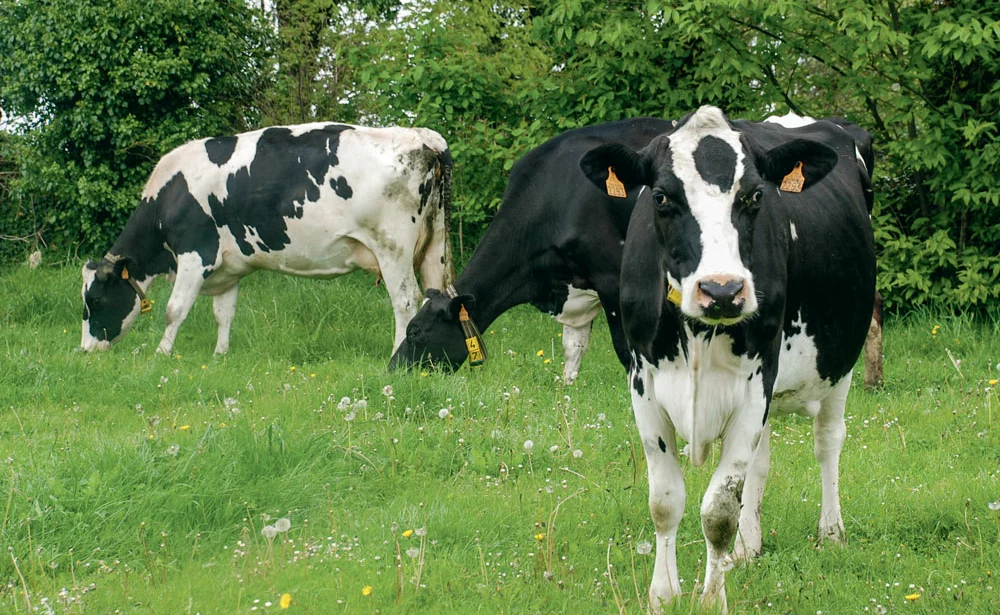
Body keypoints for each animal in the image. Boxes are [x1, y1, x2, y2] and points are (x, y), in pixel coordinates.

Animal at [81, 124, 454, 356]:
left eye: (95, 300)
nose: (85, 350)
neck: (170, 196)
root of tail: (421, 137)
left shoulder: (195, 255)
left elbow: (175, 310)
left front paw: (161, 353)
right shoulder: (228, 269)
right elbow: (223, 313)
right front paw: (220, 354)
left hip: (392, 248)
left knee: (405, 301)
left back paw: (397, 353)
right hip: (434, 247)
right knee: (435, 295)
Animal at [580, 106, 876, 612]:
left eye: (755, 195)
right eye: (661, 196)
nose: (722, 290)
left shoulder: (757, 382)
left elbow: (718, 511)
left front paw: (711, 598)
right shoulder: (643, 383)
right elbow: (665, 500)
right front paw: (663, 594)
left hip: (840, 363)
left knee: (828, 442)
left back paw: (831, 531)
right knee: (760, 461)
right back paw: (746, 548)